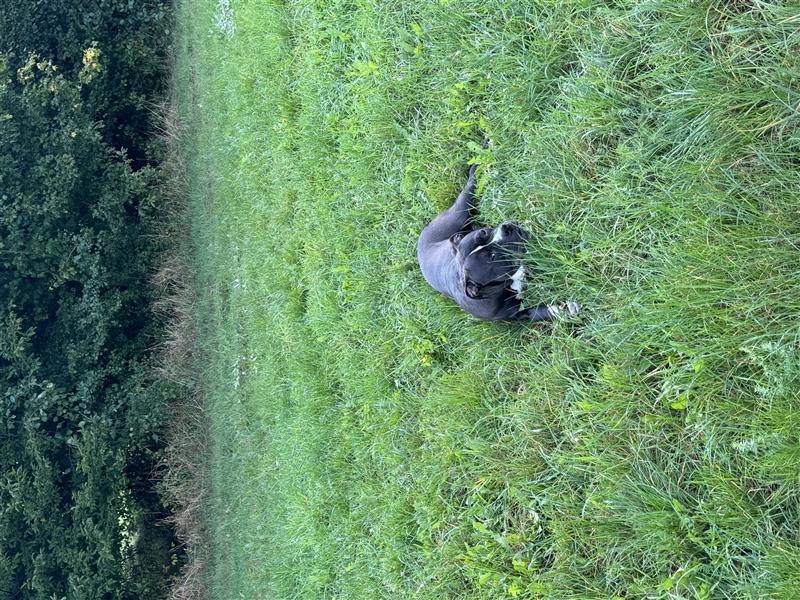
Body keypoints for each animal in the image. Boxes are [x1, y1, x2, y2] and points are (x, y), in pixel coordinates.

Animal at [416, 162, 580, 322]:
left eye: (484, 232)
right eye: (492, 257)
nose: (505, 228)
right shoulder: (517, 313)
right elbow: (542, 311)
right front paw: (566, 311)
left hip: (461, 213)